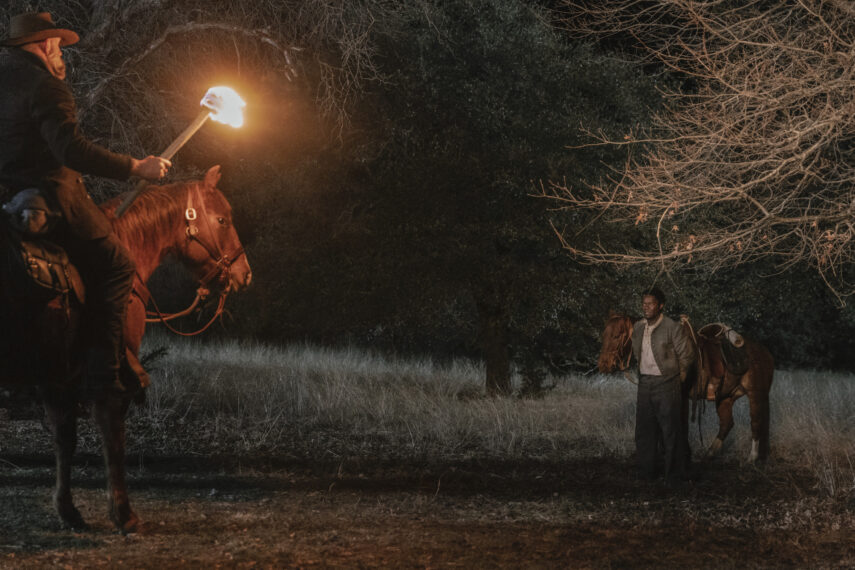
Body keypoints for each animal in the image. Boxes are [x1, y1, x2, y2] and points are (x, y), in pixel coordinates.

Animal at [0, 166, 252, 532]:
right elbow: (113, 438)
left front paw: (68, 510)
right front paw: (123, 513)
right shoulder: (111, 371)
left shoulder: (56, 377)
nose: (245, 275)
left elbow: (65, 440)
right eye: (222, 219)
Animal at [600, 310, 776, 462]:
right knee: (727, 423)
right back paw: (709, 454)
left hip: (756, 394)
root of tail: (765, 351)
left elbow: (680, 425)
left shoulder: (681, 397)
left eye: (616, 336)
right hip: (726, 397)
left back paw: (752, 458)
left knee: (756, 422)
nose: (603, 365)